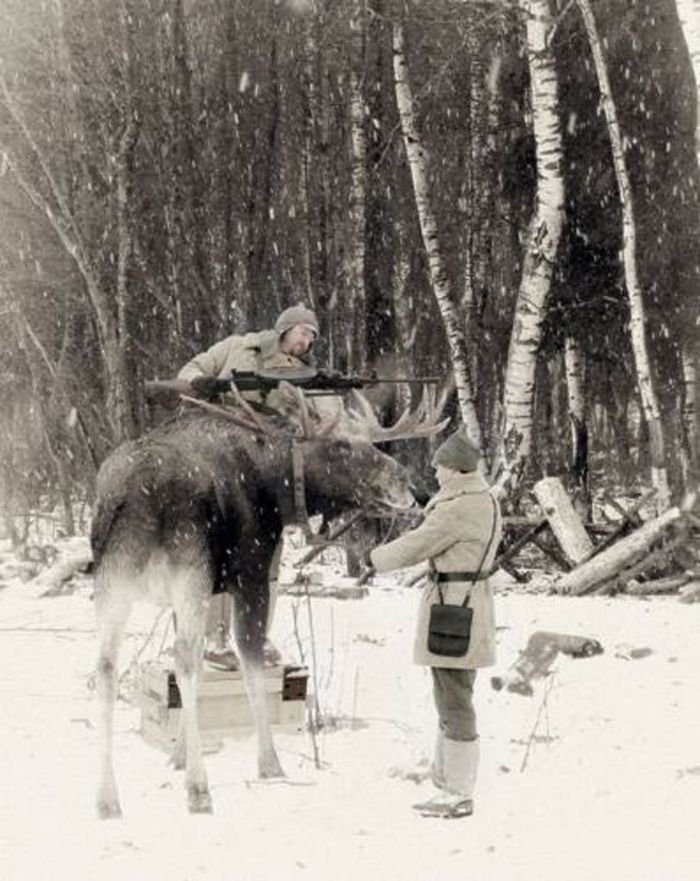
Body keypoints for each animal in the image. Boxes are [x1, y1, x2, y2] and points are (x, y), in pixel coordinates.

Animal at [93, 384, 442, 820]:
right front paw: (269, 762)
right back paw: (198, 789)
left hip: (114, 580)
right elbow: (250, 663)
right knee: (183, 659)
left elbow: (207, 668)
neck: (275, 488)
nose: (412, 487)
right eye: (341, 445)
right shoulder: (251, 574)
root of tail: (135, 495)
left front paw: (177, 756)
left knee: (107, 668)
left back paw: (107, 797)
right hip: (188, 571)